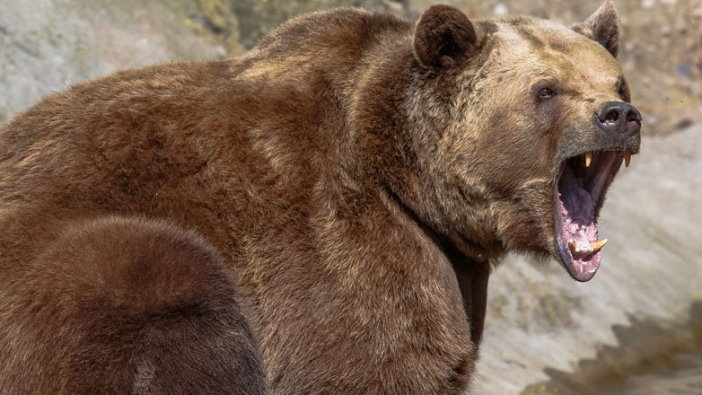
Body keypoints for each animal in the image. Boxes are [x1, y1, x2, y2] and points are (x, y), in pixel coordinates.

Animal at [0, 1, 644, 394]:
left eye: (616, 81)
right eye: (547, 90)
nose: (619, 116)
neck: (406, 180)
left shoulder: (449, 267)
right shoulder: (339, 247)